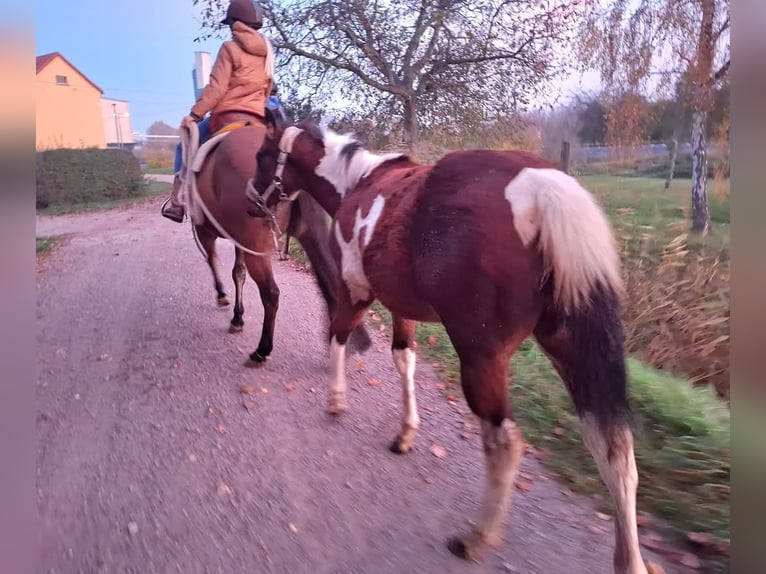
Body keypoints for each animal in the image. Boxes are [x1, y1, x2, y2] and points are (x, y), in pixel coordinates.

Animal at [184, 126, 370, 368]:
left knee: (271, 294)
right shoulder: (240, 241)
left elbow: (214, 261)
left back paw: (261, 351)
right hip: (307, 234)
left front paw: (222, 296)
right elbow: (238, 273)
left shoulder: (206, 232)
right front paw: (237, 317)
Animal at [249, 113, 656, 574]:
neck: (357, 182)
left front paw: (335, 401)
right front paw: (405, 433)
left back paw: (477, 537)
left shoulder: (357, 291)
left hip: (481, 355)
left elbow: (338, 336)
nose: (250, 201)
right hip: (570, 345)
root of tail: (542, 186)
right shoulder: (400, 305)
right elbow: (403, 359)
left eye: (262, 156)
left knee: (504, 441)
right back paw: (629, 560)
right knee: (615, 449)